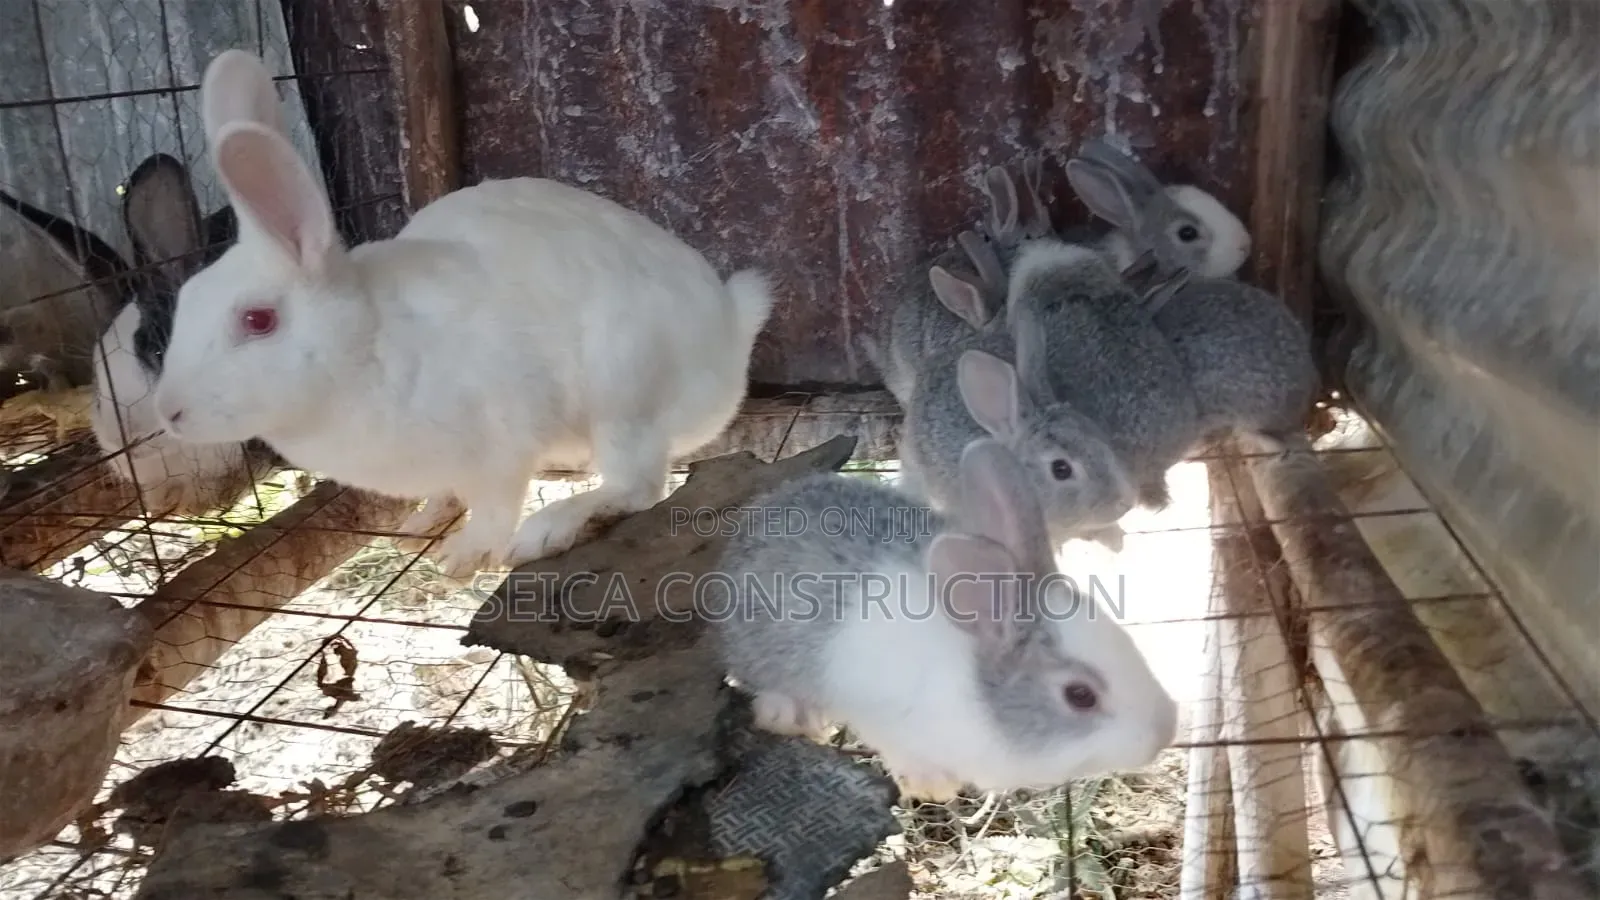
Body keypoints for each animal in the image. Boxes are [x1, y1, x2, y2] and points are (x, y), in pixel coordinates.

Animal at [150, 48, 774, 578]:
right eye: (187, 300)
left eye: (258, 321)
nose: (171, 413)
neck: (369, 343)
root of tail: (729, 330)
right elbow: (446, 493)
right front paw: (420, 524)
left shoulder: (499, 449)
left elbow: (495, 507)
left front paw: (463, 557)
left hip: (624, 392)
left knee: (636, 487)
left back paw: (547, 530)